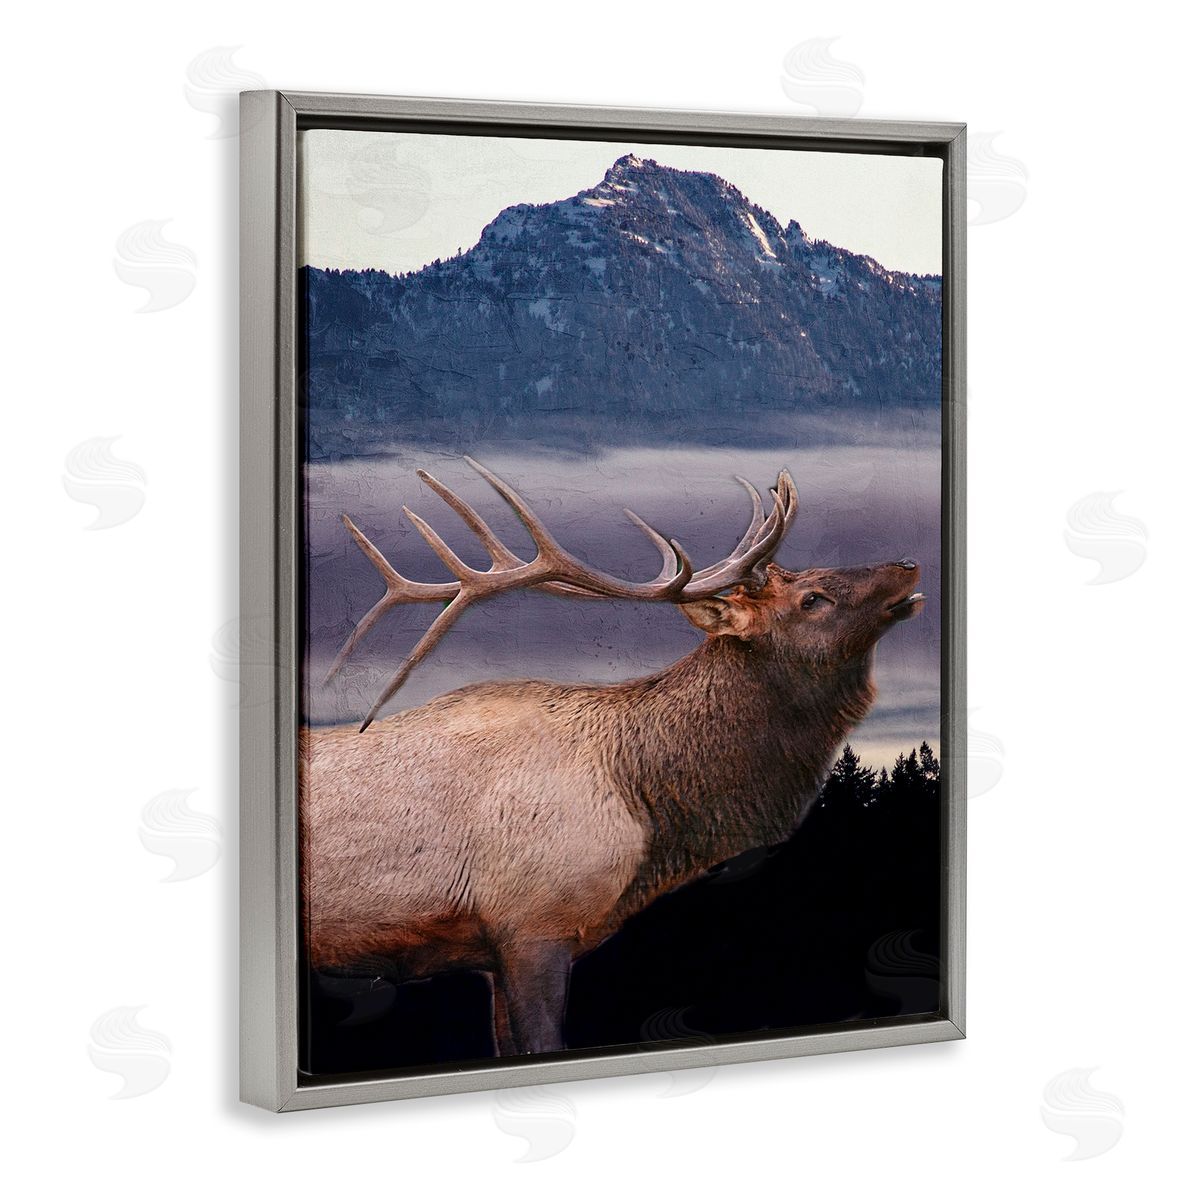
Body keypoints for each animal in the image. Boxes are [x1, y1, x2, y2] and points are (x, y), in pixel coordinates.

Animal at [300, 458, 924, 1057]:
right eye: (811, 599)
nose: (909, 564)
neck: (645, 815)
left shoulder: (491, 952)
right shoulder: (534, 925)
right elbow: (542, 1042)